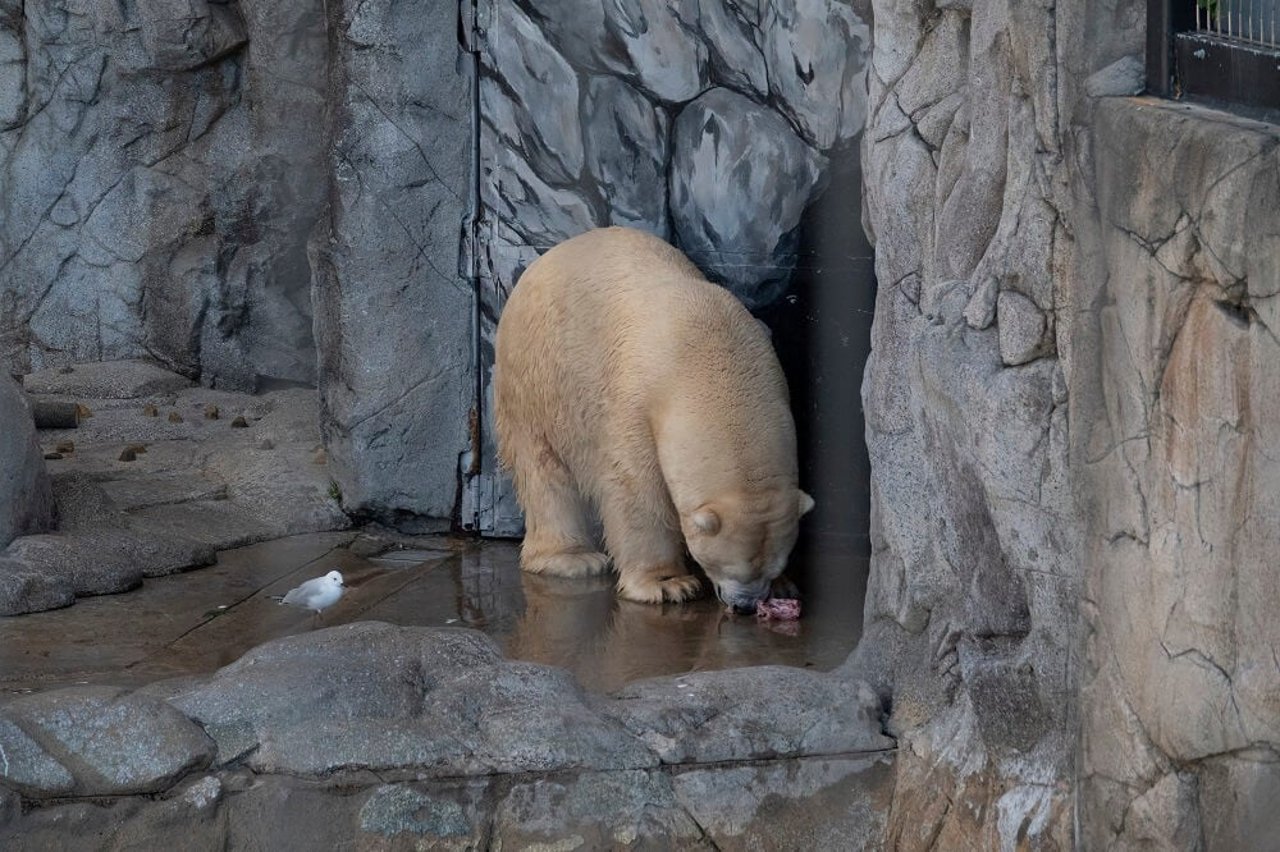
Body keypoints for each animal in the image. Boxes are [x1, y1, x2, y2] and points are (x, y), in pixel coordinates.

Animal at [494, 225, 814, 606]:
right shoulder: (634, 402)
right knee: (544, 470)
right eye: (729, 567)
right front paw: (667, 583)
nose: (745, 605)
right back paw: (574, 559)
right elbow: (637, 489)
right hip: (539, 376)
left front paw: (784, 585)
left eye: (770, 566)